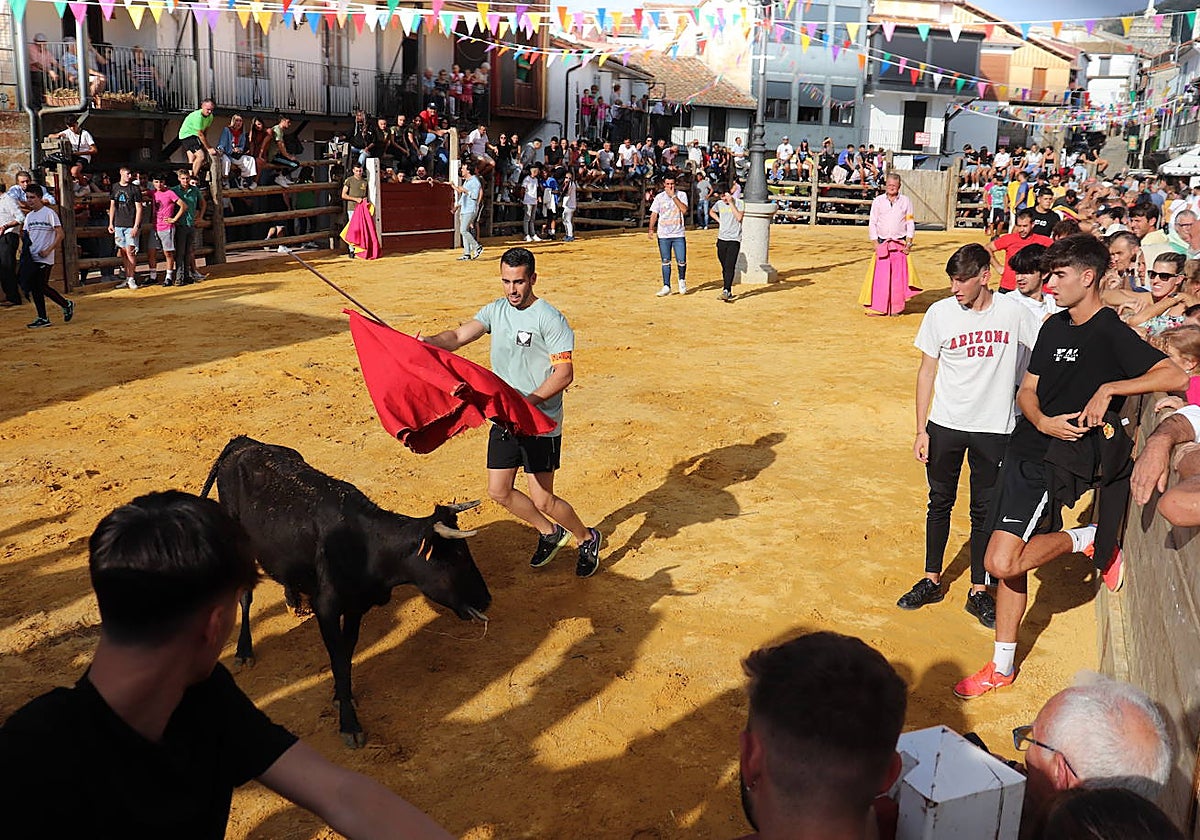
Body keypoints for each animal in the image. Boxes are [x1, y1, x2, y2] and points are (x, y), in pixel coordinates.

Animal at [200, 435, 491, 747]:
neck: (365, 544)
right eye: (456, 557)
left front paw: (343, 696)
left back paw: (293, 600)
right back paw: (244, 650)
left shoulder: (355, 606)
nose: (487, 599)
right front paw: (349, 723)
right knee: (245, 596)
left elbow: (347, 653)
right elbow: (338, 659)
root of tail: (243, 442)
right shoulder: (328, 610)